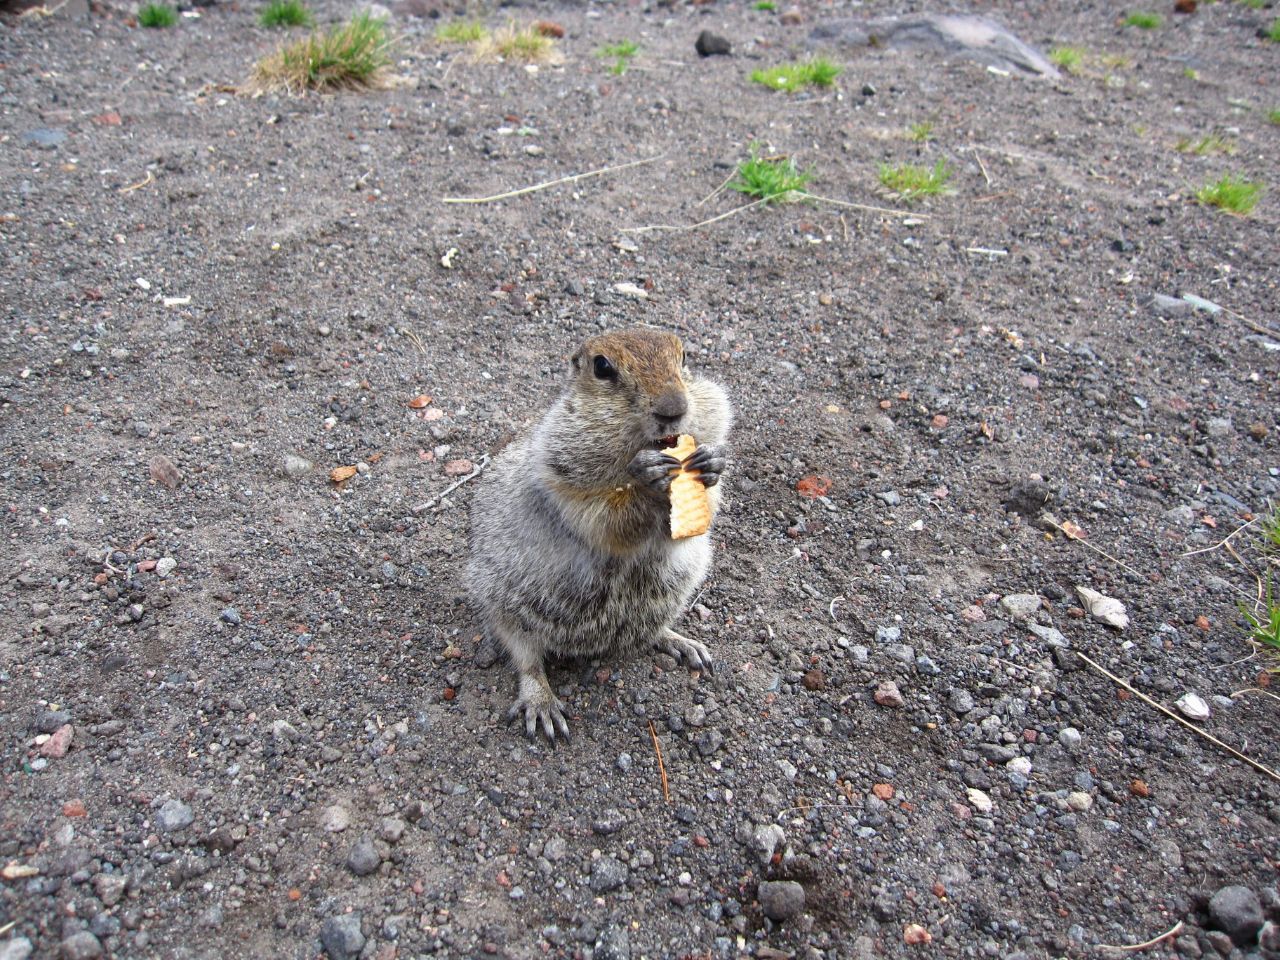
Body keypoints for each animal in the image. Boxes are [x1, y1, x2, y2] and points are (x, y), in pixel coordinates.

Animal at [468, 327, 732, 742]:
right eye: (603, 367)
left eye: (684, 356)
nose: (673, 408)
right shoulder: (563, 477)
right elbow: (603, 518)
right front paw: (647, 479)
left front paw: (711, 464)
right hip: (503, 600)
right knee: (525, 656)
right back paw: (541, 703)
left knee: (650, 631)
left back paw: (682, 643)